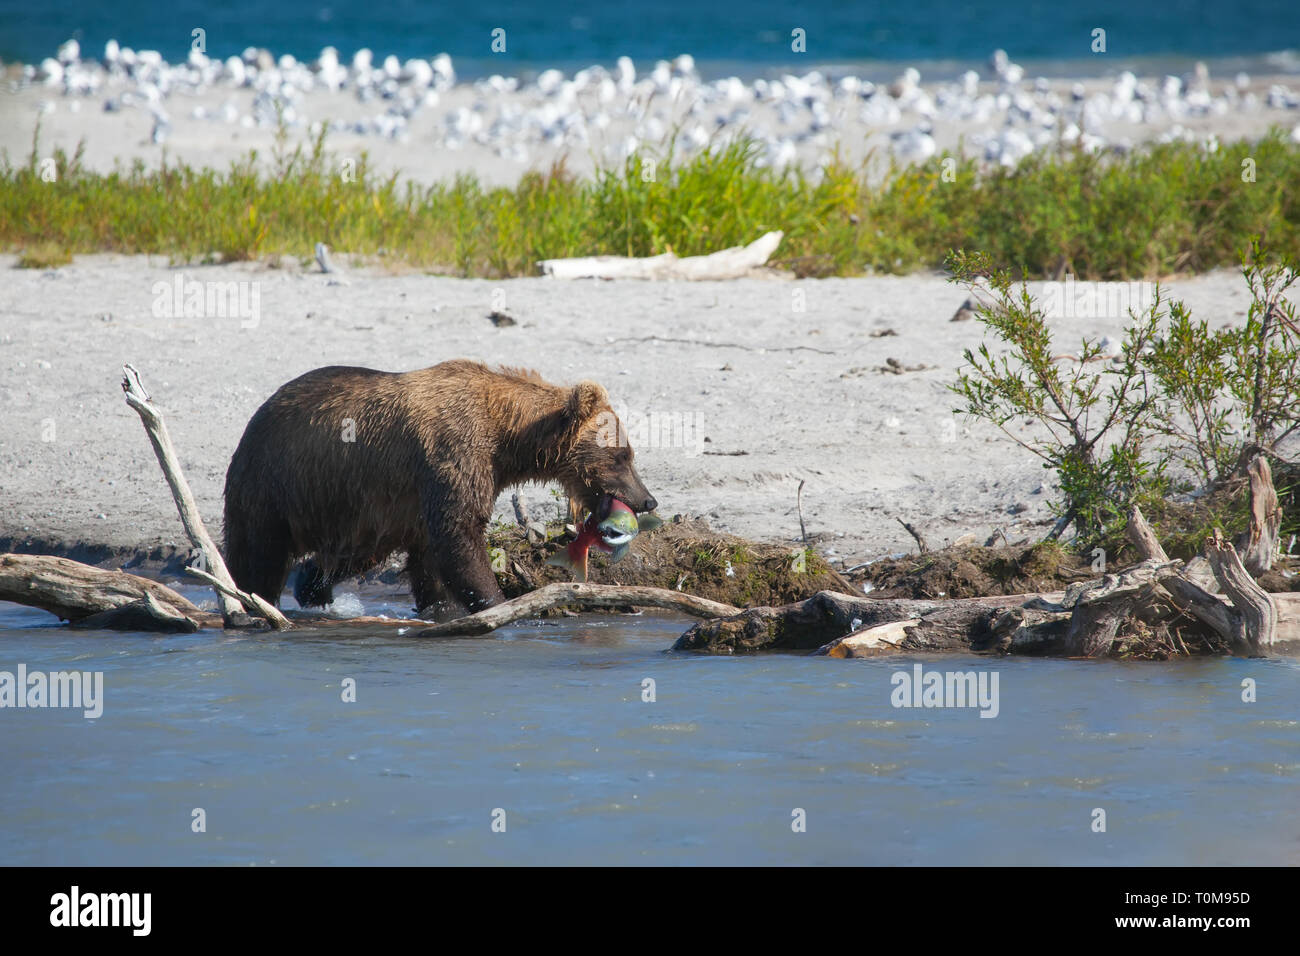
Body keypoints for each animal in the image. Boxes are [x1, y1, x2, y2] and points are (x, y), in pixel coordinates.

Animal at [219, 361, 660, 624]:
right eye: (621, 456)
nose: (647, 499)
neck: (506, 437)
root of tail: (260, 411)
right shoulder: (454, 454)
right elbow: (458, 534)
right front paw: (498, 602)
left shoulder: (428, 487)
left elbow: (433, 550)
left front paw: (444, 606)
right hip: (274, 482)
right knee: (259, 552)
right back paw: (253, 600)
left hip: (352, 503)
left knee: (357, 549)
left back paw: (311, 583)